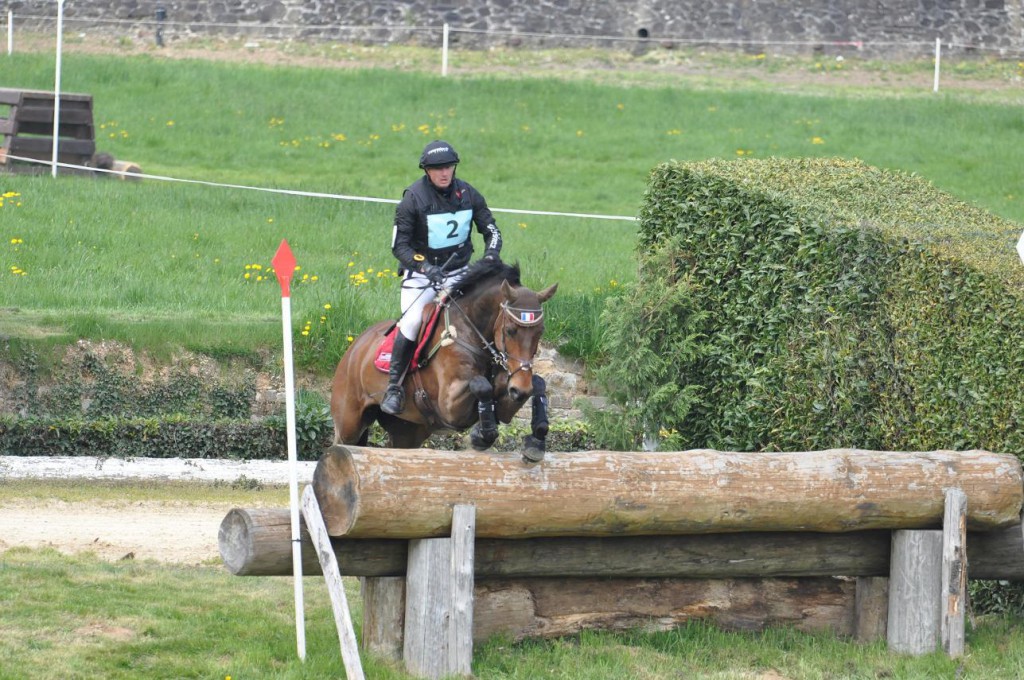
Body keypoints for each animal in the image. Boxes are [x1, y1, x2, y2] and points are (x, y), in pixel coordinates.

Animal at [329, 259, 557, 462]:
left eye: (540, 332)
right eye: (510, 331)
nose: (520, 388)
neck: (469, 332)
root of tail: (355, 346)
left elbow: (536, 384)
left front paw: (537, 439)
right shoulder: (450, 407)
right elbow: (481, 385)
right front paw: (482, 435)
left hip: (407, 431)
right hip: (349, 422)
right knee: (341, 443)